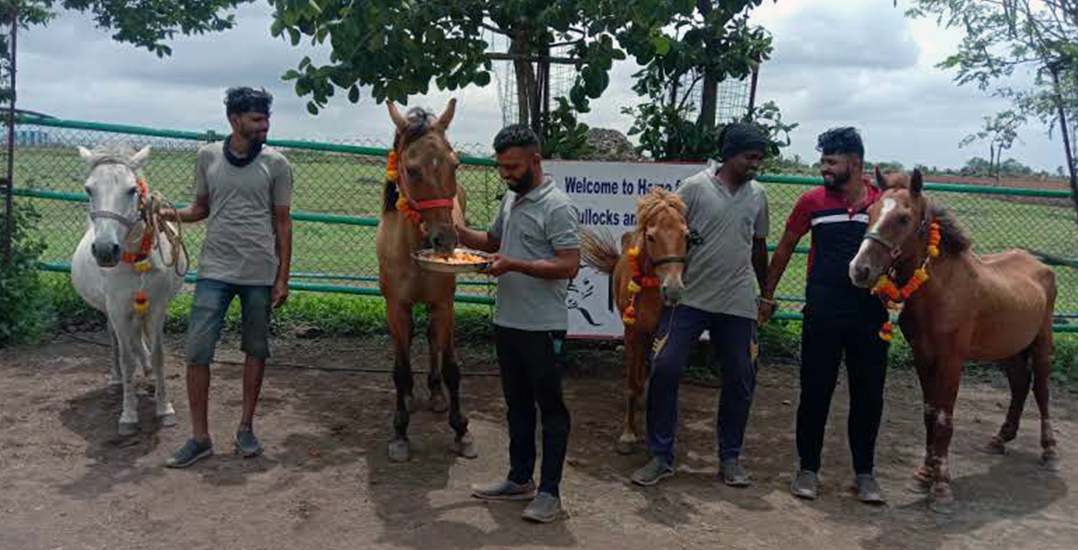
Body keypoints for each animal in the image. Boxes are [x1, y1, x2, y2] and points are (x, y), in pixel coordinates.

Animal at [70, 143, 186, 435]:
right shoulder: (118, 308)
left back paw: (149, 376)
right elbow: (126, 358)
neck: (135, 257)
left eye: (132, 189)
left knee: (137, 339)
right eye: (89, 189)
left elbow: (158, 354)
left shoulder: (157, 307)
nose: (104, 250)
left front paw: (164, 408)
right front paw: (128, 415)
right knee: (116, 339)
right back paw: (116, 380)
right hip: (110, 310)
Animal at [377, 97, 474, 459]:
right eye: (412, 169)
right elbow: (401, 371)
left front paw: (461, 429)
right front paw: (400, 432)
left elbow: (451, 368)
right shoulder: (396, 307)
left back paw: (434, 393)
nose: (445, 240)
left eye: (455, 165)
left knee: (433, 338)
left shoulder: (444, 304)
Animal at [586, 186, 685, 452]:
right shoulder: (632, 333)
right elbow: (631, 382)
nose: (673, 290)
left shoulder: (658, 332)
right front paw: (628, 434)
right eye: (651, 237)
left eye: (687, 235)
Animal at [845, 167, 1056, 506]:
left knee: (1042, 390)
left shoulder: (952, 360)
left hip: (1041, 343)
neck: (943, 289)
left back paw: (1049, 449)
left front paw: (941, 484)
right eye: (872, 212)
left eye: (903, 218)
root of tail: (1040, 266)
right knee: (1020, 385)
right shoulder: (922, 356)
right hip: (1007, 349)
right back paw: (1000, 438)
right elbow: (930, 413)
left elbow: (945, 418)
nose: (859, 270)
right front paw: (923, 475)